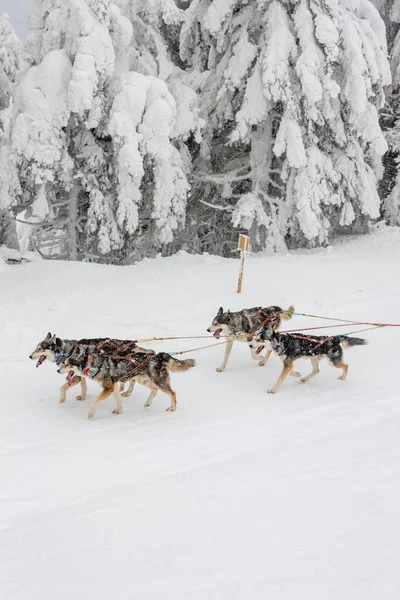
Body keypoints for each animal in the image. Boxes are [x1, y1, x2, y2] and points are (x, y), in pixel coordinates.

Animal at [57, 346, 195, 418]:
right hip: (143, 380)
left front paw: (91, 413)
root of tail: (159, 355)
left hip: (159, 381)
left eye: (67, 365)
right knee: (154, 389)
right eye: (63, 363)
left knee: (172, 393)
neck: (93, 364)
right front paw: (120, 411)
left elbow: (94, 401)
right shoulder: (113, 387)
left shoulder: (108, 388)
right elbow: (118, 400)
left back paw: (172, 408)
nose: (58, 370)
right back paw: (148, 402)